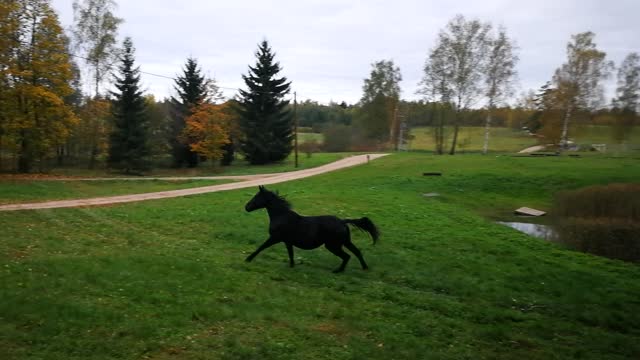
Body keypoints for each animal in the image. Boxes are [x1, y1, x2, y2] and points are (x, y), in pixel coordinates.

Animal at [244, 186, 376, 272]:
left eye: (256, 197)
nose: (246, 207)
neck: (281, 216)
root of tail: (342, 221)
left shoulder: (275, 238)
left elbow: (261, 247)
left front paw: (248, 259)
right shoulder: (287, 241)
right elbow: (290, 254)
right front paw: (292, 266)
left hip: (333, 245)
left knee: (347, 256)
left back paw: (338, 271)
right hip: (345, 242)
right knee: (357, 252)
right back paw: (364, 268)